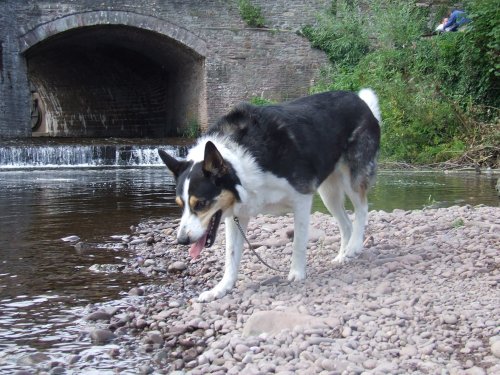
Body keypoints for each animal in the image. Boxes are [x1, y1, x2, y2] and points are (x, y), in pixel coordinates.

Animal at [158, 89, 380, 304]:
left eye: (201, 204)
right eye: (180, 204)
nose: (182, 241)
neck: (243, 158)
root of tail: (361, 102)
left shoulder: (302, 198)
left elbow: (299, 242)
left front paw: (297, 273)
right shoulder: (236, 215)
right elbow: (231, 256)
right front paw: (221, 289)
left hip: (351, 179)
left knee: (362, 209)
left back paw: (355, 246)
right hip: (328, 193)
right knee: (346, 223)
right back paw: (343, 255)